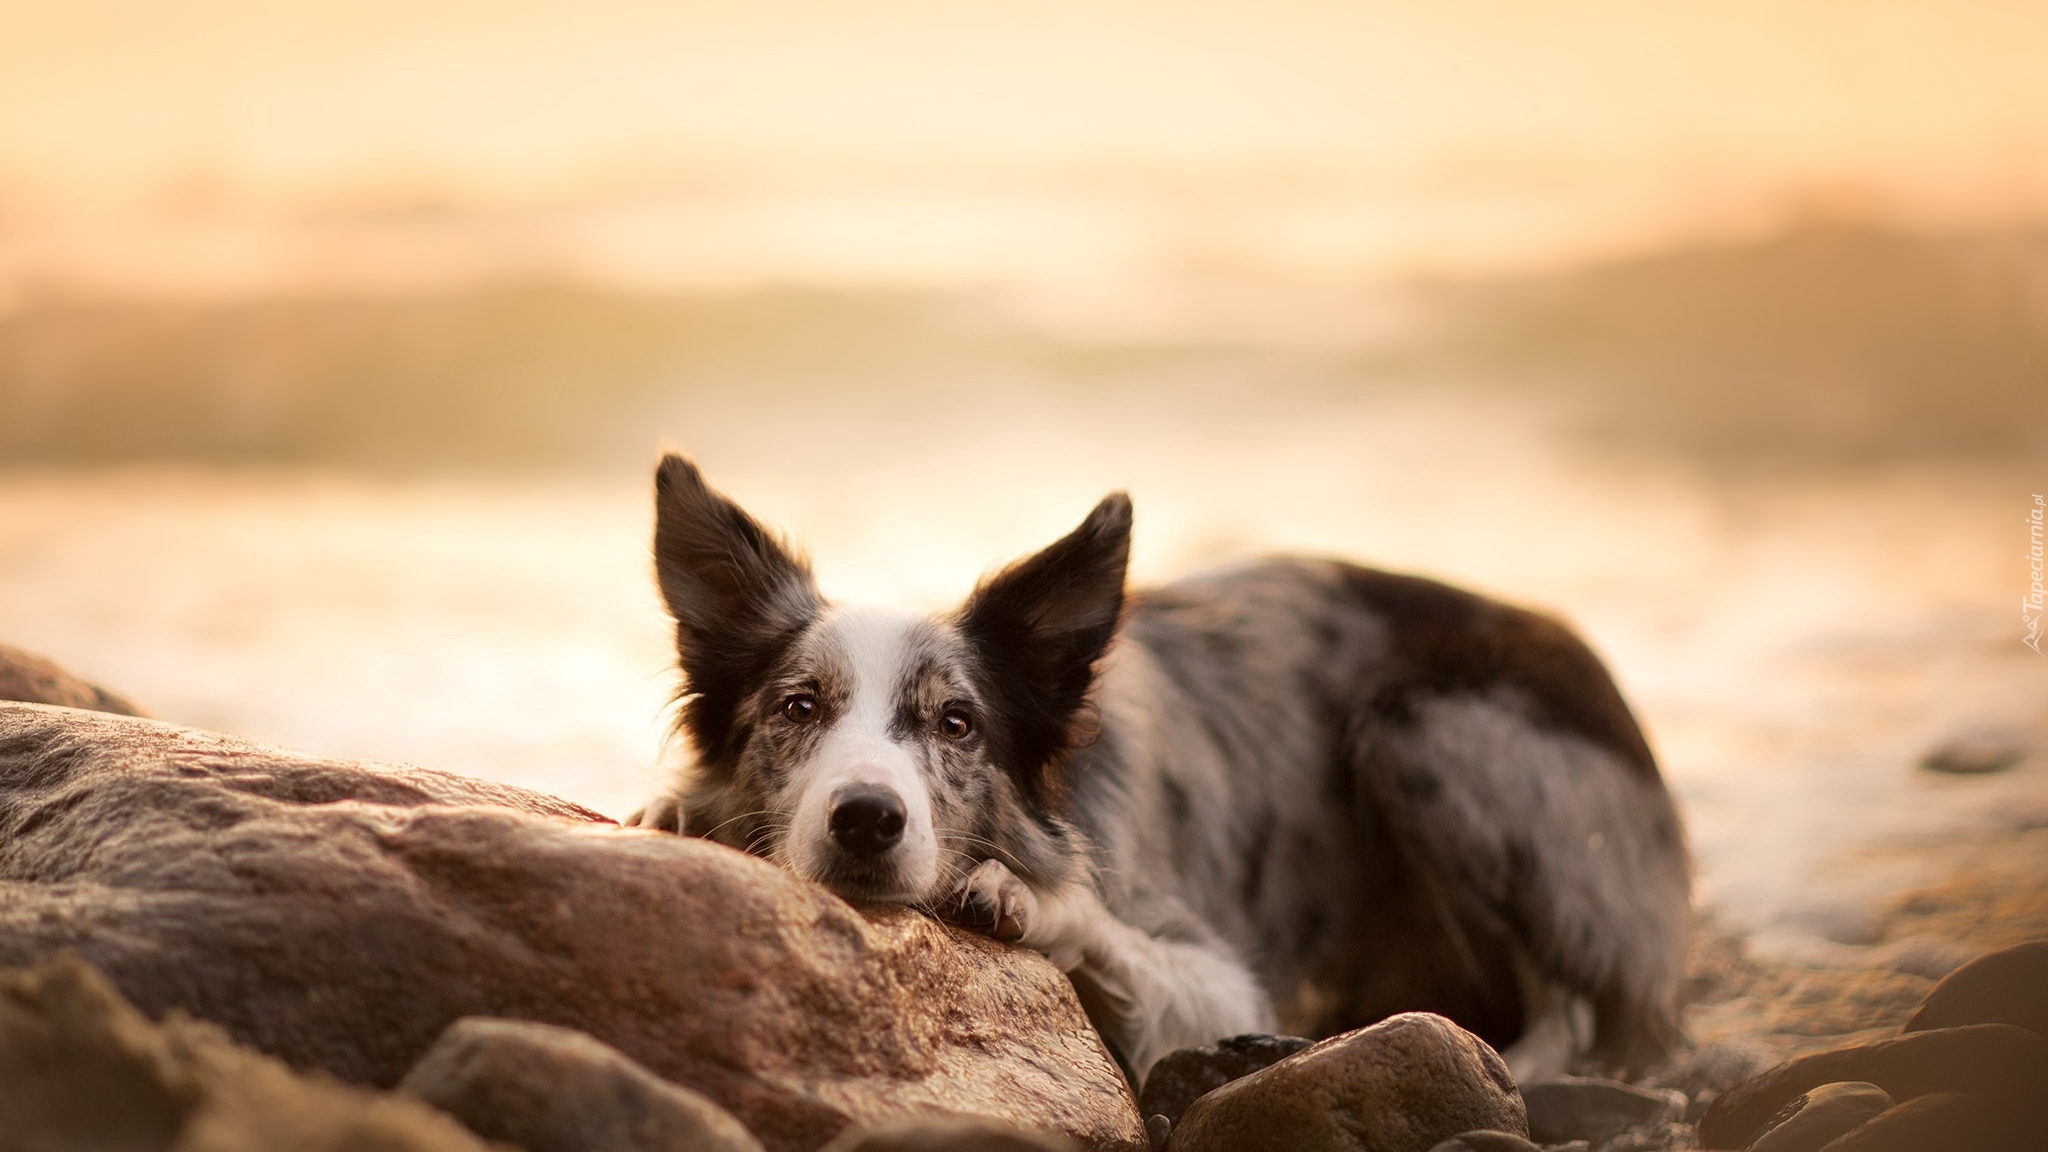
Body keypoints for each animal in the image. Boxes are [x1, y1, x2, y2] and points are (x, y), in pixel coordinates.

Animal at [630, 453, 1687, 1082]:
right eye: (799, 708)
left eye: (958, 724)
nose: (865, 819)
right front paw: (678, 815)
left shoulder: (1223, 977)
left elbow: (1111, 932)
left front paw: (1030, 898)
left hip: (1423, 733)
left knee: (1579, 1011)